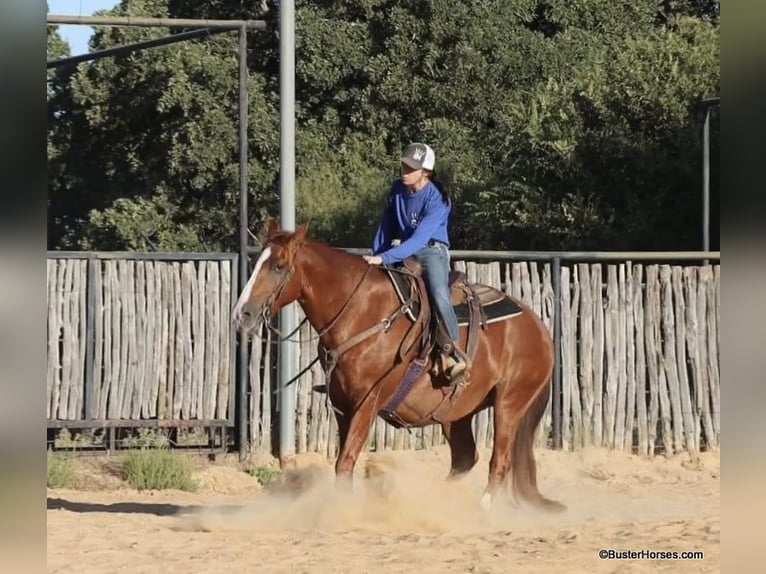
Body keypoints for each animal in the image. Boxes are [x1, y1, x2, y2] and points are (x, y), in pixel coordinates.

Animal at [232, 219, 564, 512]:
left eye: (279, 266)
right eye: (257, 263)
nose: (241, 314)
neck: (362, 312)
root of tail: (539, 327)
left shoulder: (367, 402)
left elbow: (345, 460)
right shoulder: (341, 404)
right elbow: (344, 462)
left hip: (509, 403)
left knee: (500, 460)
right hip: (457, 413)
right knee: (464, 458)